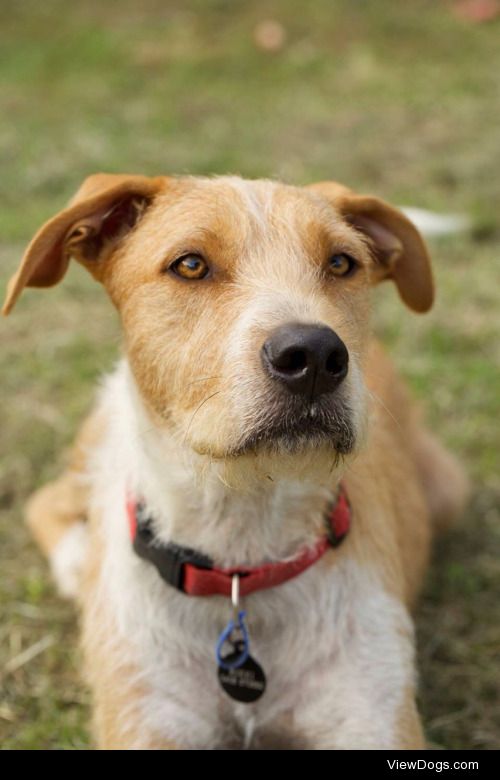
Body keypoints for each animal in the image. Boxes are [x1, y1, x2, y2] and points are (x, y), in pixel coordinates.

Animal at [2, 175, 468, 748]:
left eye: (341, 263)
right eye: (190, 264)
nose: (315, 355)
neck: (242, 555)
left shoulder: (373, 716)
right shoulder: (148, 719)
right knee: (48, 499)